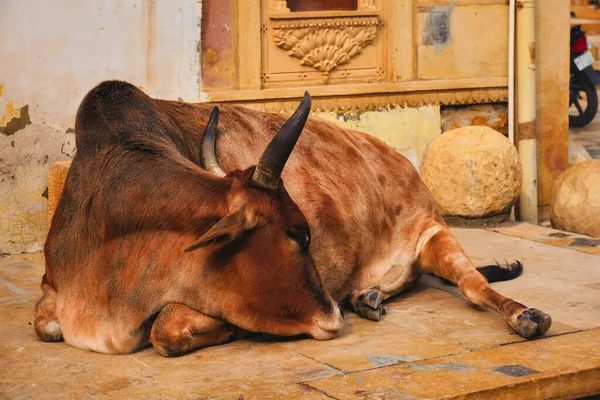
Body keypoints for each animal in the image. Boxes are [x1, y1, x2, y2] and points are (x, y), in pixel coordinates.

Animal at [36, 79, 552, 354]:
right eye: (296, 235)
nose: (333, 315)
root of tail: (402, 161)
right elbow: (47, 326)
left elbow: (166, 328)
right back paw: (367, 298)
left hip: (434, 232)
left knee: (474, 284)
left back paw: (526, 316)